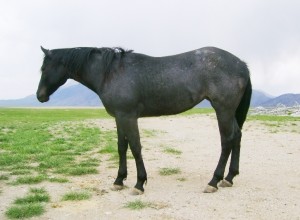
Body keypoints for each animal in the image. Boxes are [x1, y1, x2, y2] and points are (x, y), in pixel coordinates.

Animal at [36, 46, 252, 194]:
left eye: (44, 68)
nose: (40, 96)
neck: (111, 73)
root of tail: (241, 64)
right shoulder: (120, 117)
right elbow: (122, 147)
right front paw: (119, 180)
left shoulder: (129, 117)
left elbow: (135, 147)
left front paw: (139, 183)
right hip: (229, 112)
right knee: (237, 137)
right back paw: (229, 177)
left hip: (223, 110)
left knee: (227, 141)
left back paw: (214, 181)